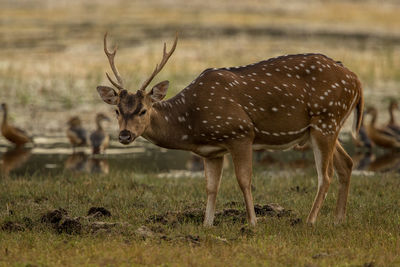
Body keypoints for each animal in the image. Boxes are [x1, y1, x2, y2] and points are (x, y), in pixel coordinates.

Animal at [96, 32, 362, 227]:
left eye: (143, 110)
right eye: (117, 110)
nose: (124, 135)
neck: (193, 124)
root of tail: (356, 79)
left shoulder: (240, 132)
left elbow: (244, 180)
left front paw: (253, 222)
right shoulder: (212, 151)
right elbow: (211, 187)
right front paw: (207, 224)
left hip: (326, 118)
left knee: (325, 175)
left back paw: (310, 220)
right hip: (326, 126)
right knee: (347, 164)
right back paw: (339, 220)